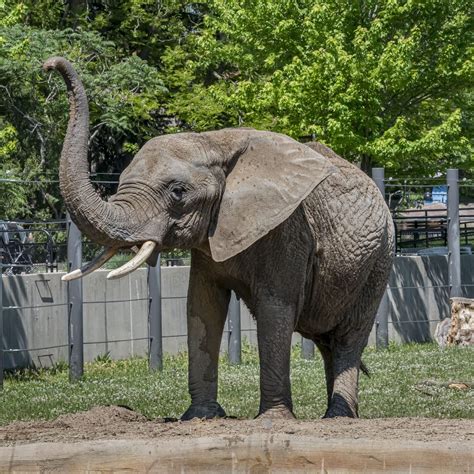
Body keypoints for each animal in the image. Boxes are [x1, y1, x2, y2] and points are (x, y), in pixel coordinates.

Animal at [44, 56, 394, 418]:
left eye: (178, 192)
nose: (50, 65)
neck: (213, 142)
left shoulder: (288, 229)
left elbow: (275, 308)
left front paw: (272, 420)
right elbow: (202, 306)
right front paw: (200, 417)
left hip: (380, 258)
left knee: (349, 338)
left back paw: (338, 417)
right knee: (328, 342)